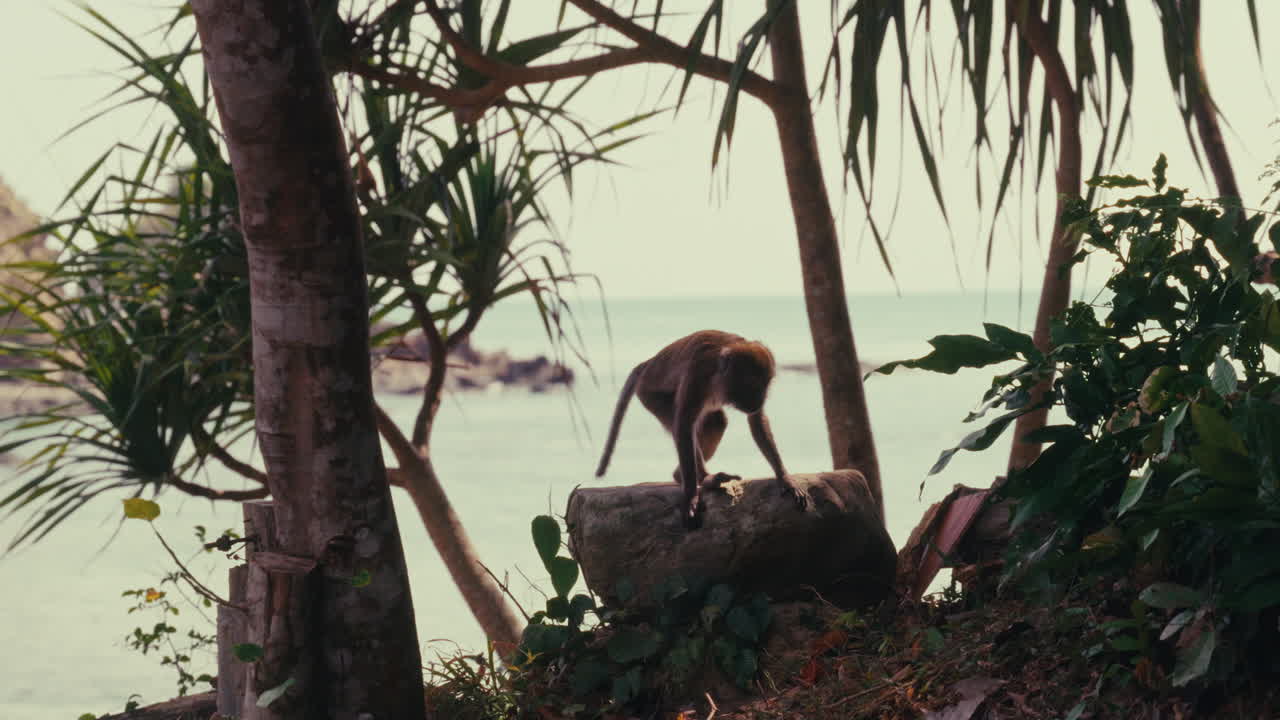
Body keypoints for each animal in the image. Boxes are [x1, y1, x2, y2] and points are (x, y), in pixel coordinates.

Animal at [595, 330, 813, 529]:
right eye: (751, 385)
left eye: (765, 385)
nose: (760, 399)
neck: (719, 374)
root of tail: (648, 363)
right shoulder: (698, 373)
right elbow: (684, 424)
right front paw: (691, 496)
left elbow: (757, 421)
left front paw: (784, 478)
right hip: (650, 395)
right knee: (683, 425)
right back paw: (705, 479)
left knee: (716, 421)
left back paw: (686, 475)